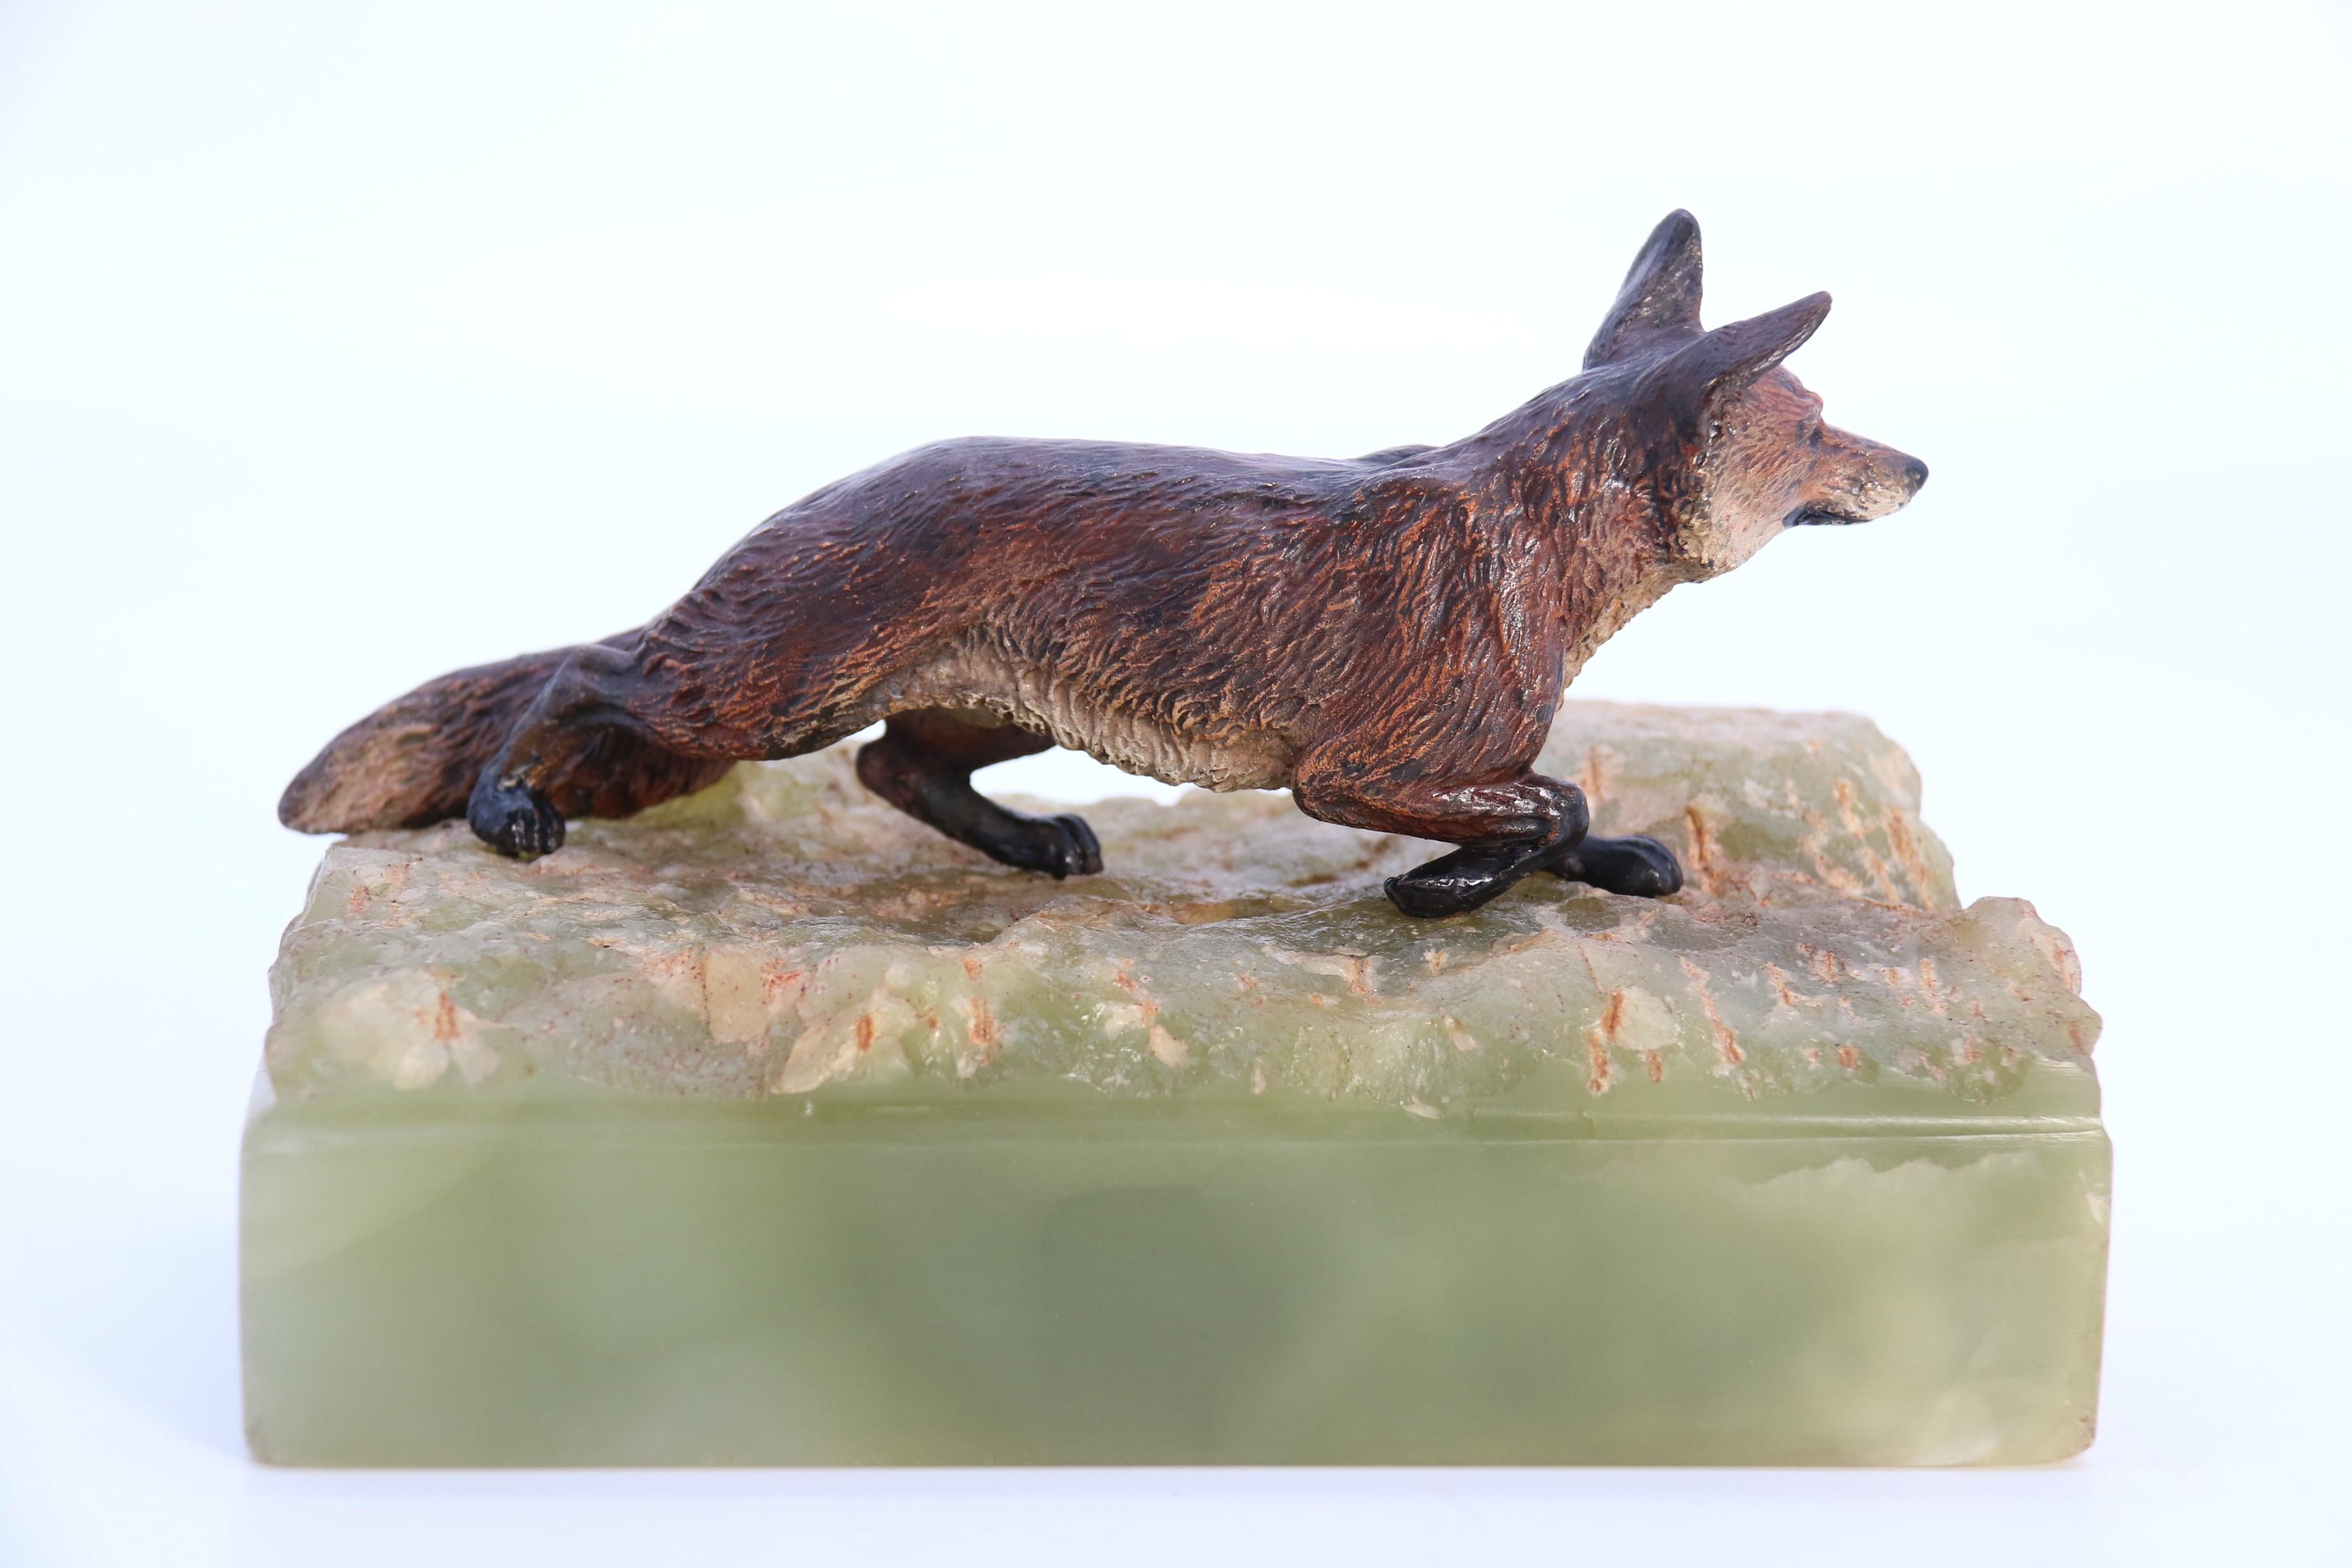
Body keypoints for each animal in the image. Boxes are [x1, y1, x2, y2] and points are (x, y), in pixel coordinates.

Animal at [275, 208, 1928, 921]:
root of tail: (822, 500)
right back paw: (506, 806)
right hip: (761, 692)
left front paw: (1604, 863)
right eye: (1821, 426)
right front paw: (1452, 886)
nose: (1922, 470)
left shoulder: (1437, 757)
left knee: (893, 771)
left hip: (992, 710)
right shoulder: (1355, 771)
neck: (1538, 546)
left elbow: (1562, 798)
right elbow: (1543, 800)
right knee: (584, 672)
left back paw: (1031, 849)